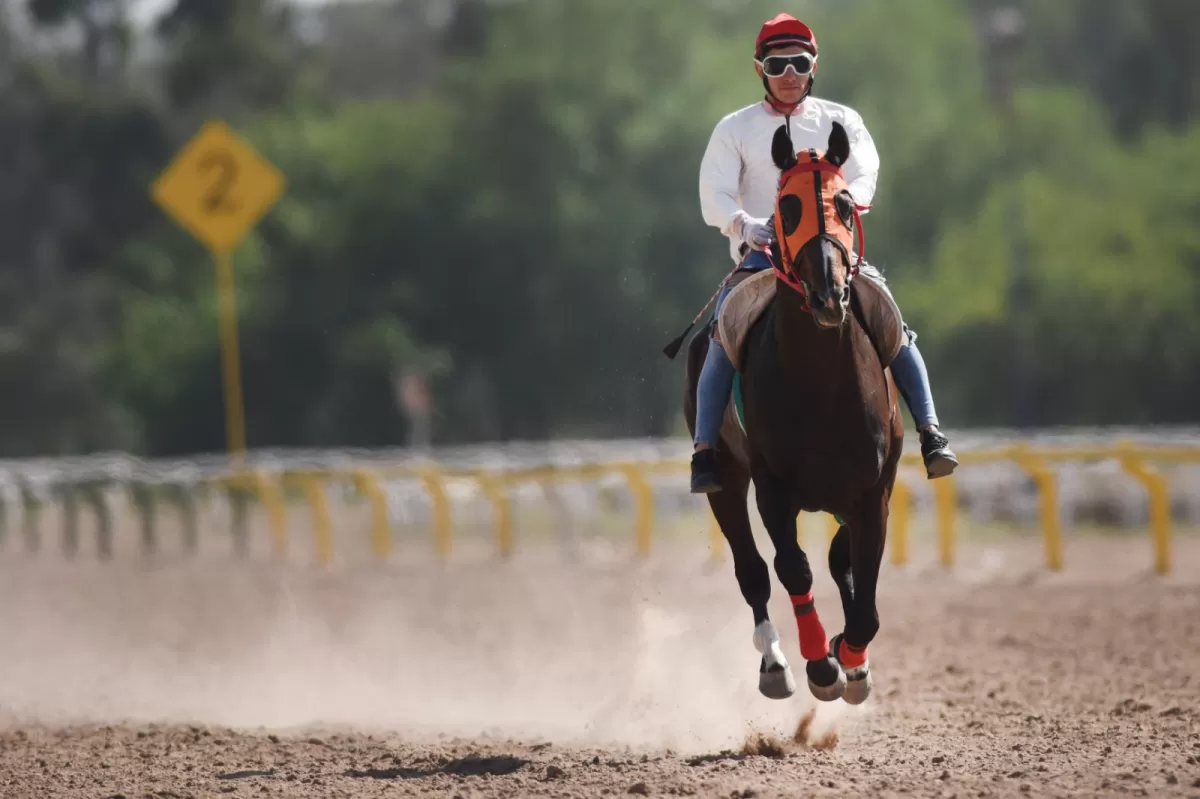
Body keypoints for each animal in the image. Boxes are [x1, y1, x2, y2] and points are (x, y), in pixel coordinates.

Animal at [686, 119, 902, 705]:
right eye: (786, 209)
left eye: (845, 205)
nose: (829, 295)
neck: (822, 385)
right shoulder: (772, 488)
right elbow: (793, 569)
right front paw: (820, 665)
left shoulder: (872, 490)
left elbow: (865, 592)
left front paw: (852, 659)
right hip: (725, 480)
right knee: (753, 571)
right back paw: (775, 663)